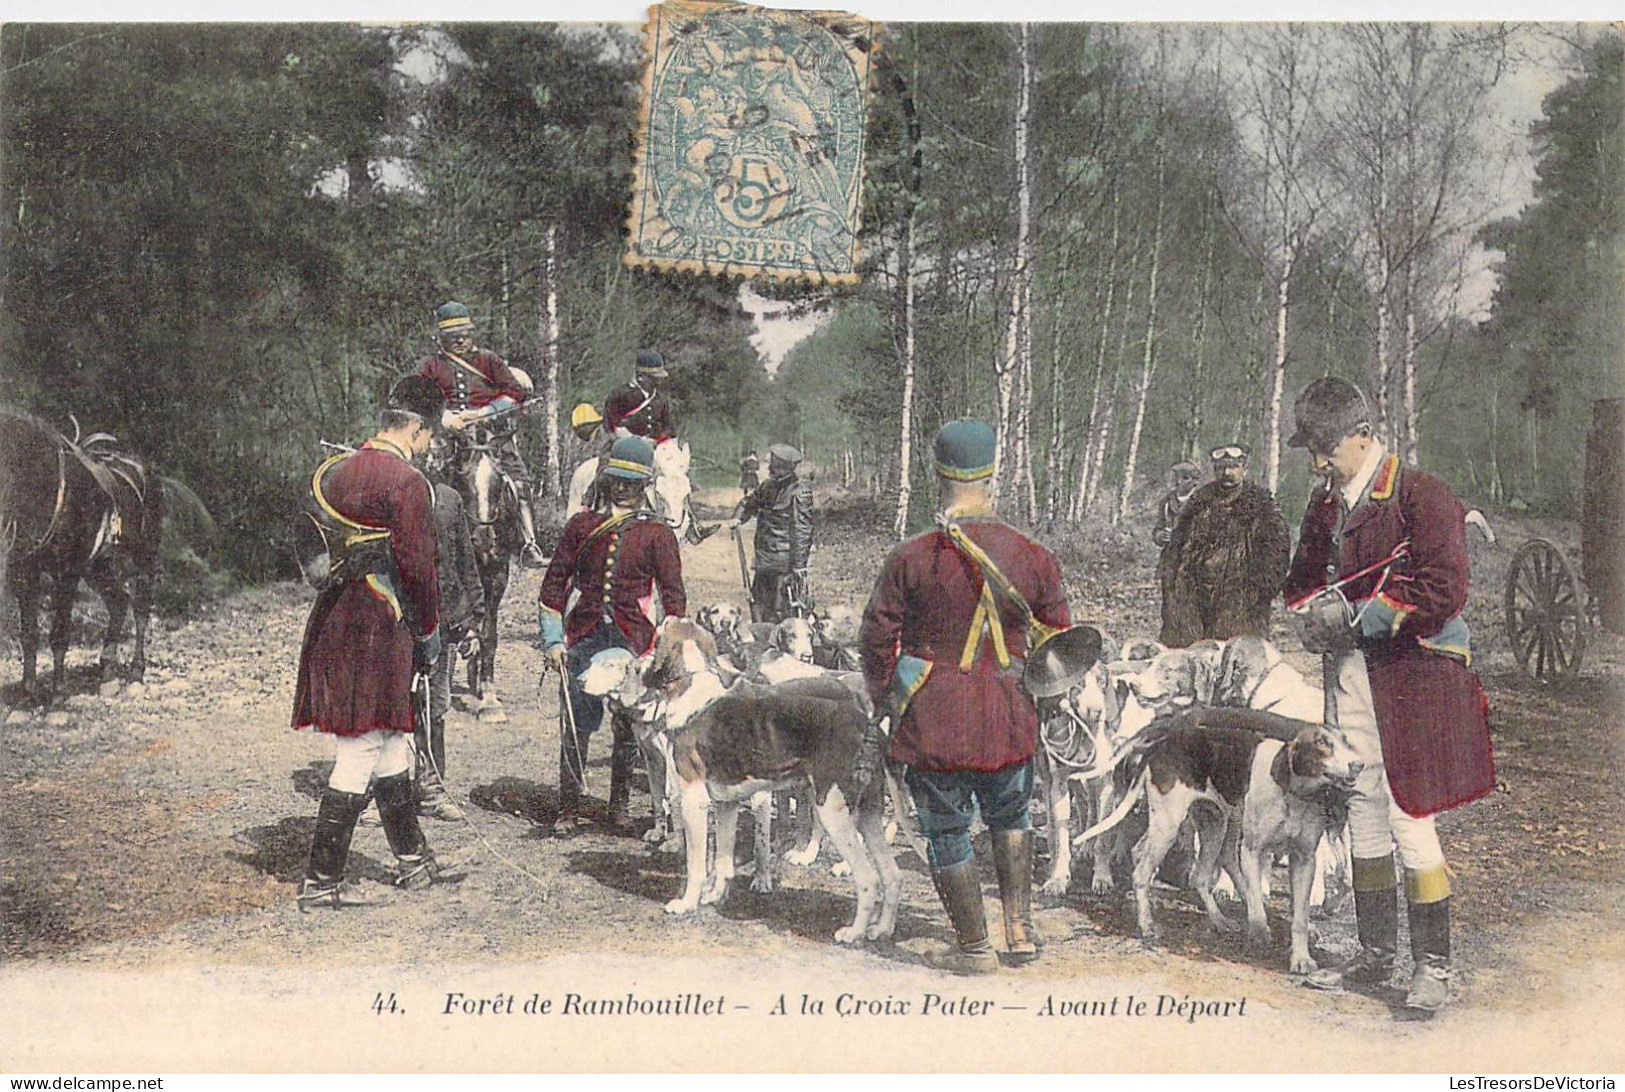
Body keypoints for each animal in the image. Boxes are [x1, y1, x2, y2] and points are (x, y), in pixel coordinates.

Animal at [1, 407, 166, 698]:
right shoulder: (27, 571)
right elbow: (29, 635)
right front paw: (27, 691)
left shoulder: (67, 572)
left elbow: (59, 634)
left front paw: (57, 691)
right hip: (97, 566)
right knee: (118, 601)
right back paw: (107, 674)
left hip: (144, 555)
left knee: (141, 608)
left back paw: (136, 673)